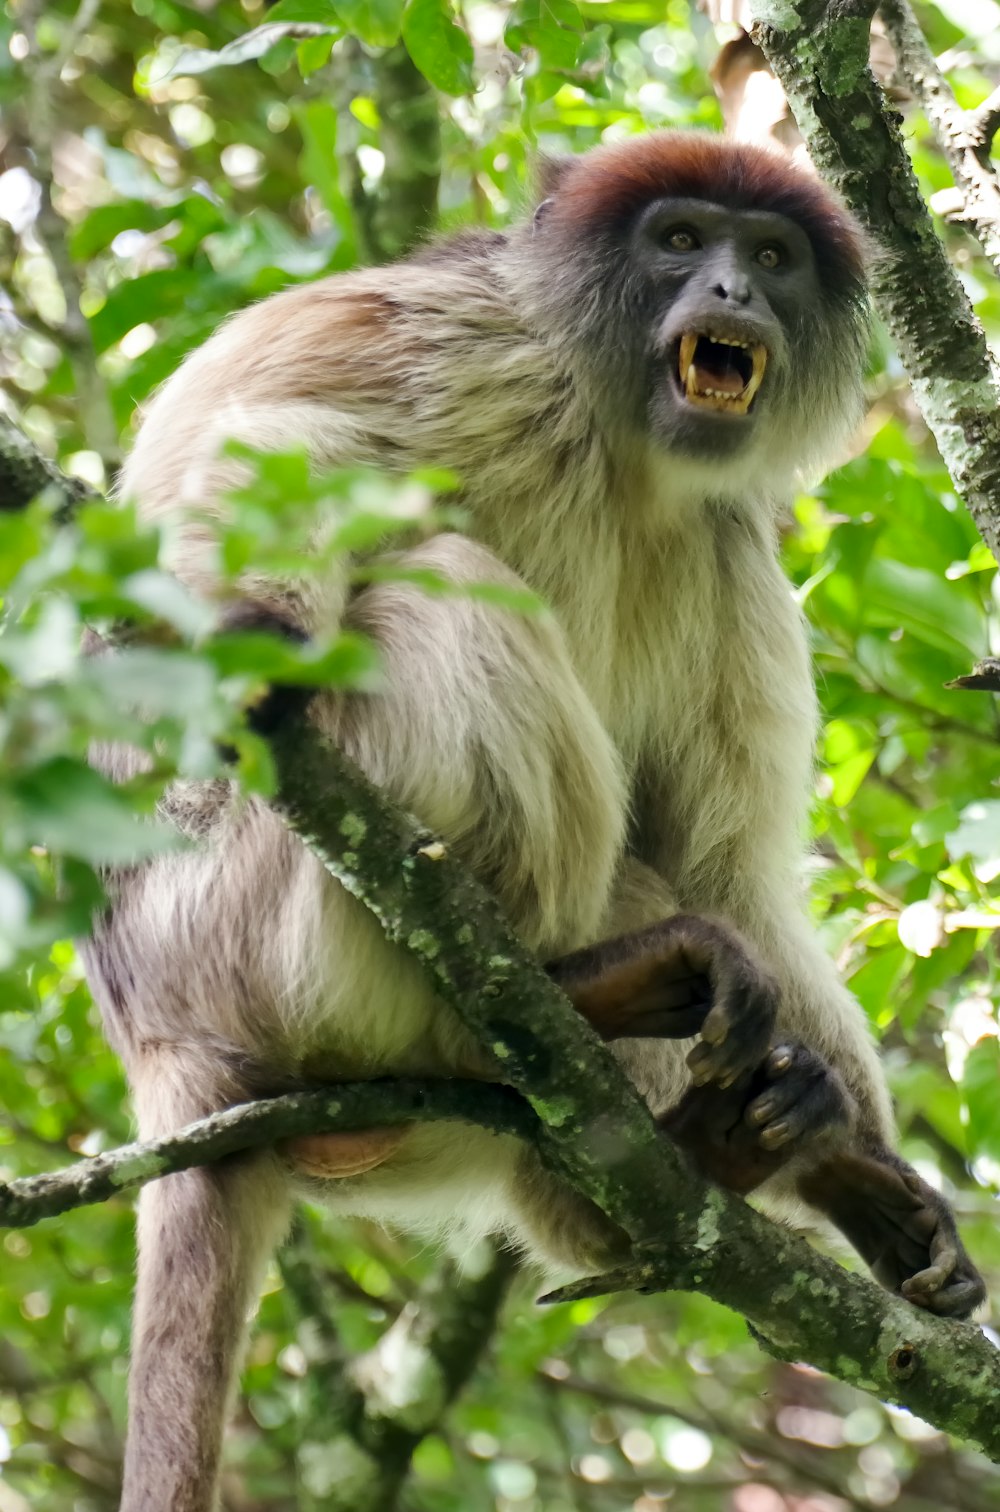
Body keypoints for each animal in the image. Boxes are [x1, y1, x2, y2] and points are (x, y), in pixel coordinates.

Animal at [82, 133, 986, 1512]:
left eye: (769, 256)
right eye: (681, 241)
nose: (731, 293)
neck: (627, 448)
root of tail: (159, 1050)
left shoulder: (733, 545)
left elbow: (730, 871)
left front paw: (865, 1178)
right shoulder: (479, 345)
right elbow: (258, 439)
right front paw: (249, 637)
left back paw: (723, 1144)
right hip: (249, 929)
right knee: (434, 587)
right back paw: (568, 994)